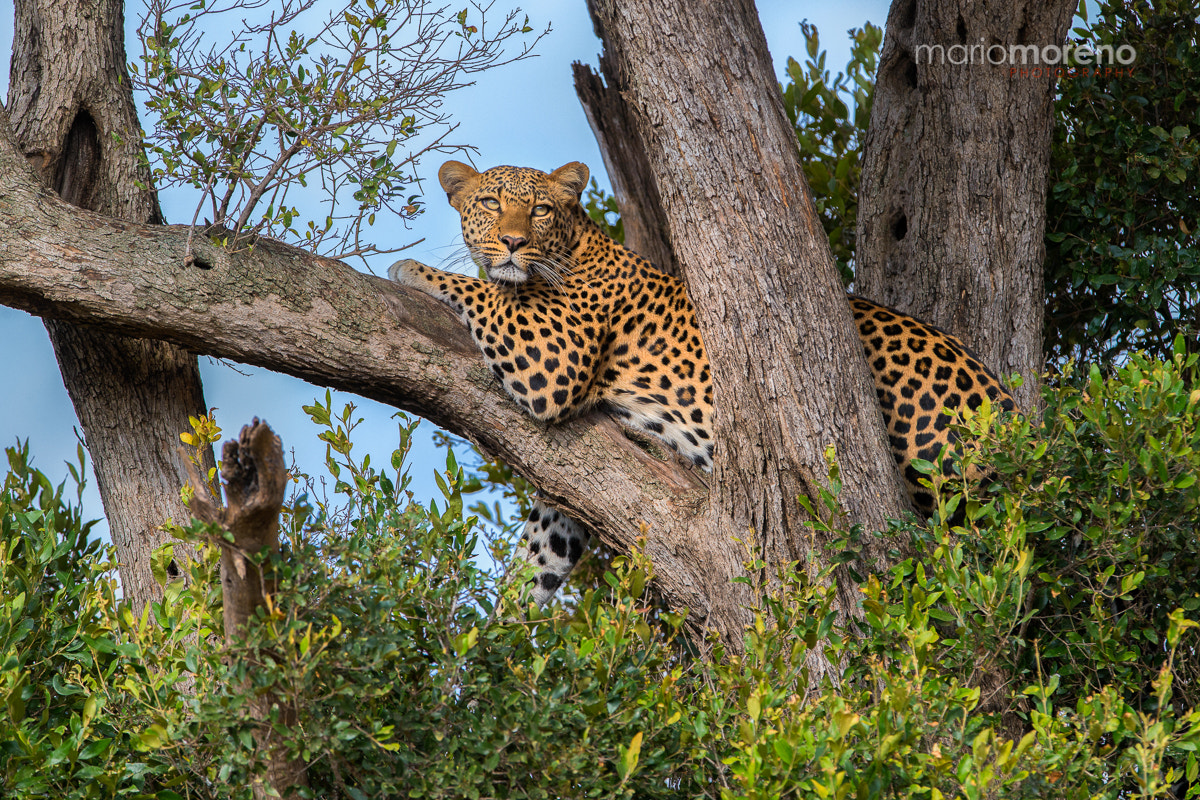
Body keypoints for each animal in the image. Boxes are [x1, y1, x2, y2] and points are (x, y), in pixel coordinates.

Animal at [388, 159, 1017, 604]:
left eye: (540, 210)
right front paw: (495, 636)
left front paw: (410, 269)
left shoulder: (553, 357)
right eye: (490, 203)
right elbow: (542, 551)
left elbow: (484, 292)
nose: (514, 242)